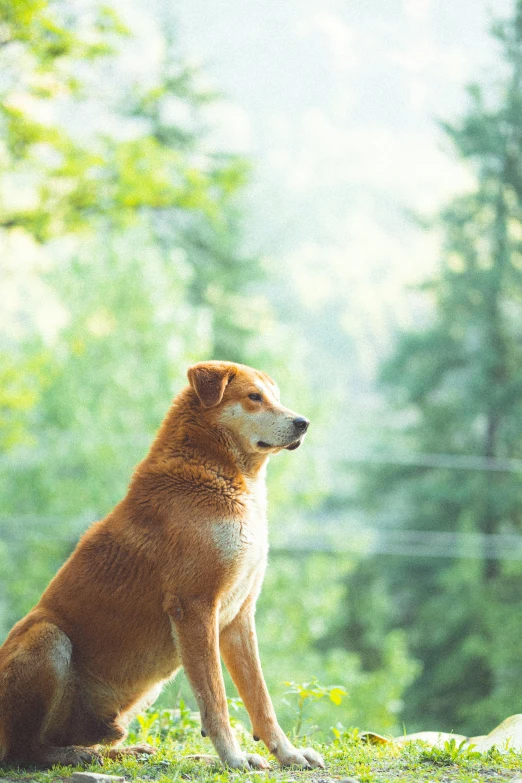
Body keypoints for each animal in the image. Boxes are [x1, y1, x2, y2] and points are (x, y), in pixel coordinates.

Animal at [0, 362, 322, 772]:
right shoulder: (195, 608)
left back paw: (120, 752)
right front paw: (234, 758)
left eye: (276, 397)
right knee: (23, 751)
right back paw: (73, 756)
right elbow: (215, 701)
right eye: (254, 397)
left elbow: (260, 701)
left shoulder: (238, 618)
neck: (218, 473)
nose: (303, 423)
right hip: (47, 638)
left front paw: (288, 754)